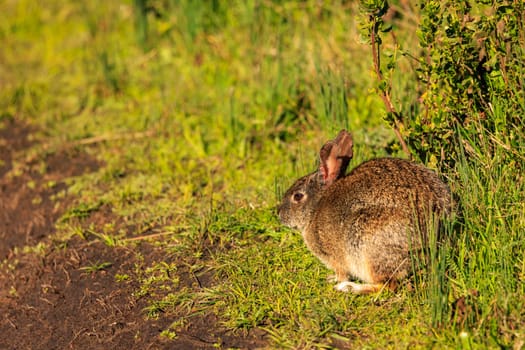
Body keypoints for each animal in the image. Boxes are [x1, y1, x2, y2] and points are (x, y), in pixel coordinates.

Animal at [276, 130, 452, 294]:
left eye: (297, 196)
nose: (279, 214)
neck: (314, 209)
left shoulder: (334, 257)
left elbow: (341, 273)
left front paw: (335, 280)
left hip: (365, 243)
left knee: (386, 285)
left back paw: (350, 288)